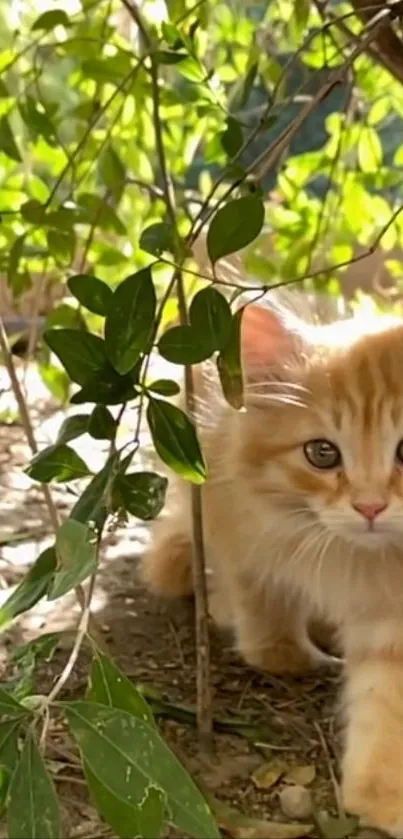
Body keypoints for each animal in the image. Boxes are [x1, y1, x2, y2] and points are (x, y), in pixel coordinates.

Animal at [144, 298, 403, 836]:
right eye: (322, 453)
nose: (369, 507)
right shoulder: (239, 513)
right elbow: (263, 604)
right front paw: (284, 652)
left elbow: (385, 695)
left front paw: (380, 792)